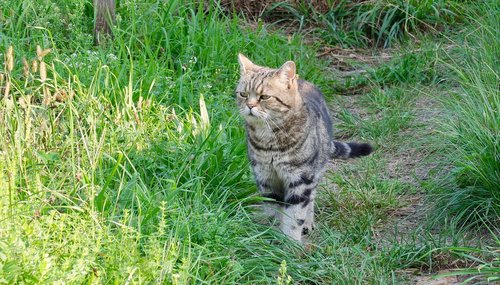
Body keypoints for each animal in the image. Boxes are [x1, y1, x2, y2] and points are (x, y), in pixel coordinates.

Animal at [234, 53, 372, 242]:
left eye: (264, 97)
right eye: (243, 94)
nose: (249, 105)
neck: (269, 140)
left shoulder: (300, 179)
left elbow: (294, 215)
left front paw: (290, 243)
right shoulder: (265, 177)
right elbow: (273, 212)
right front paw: (270, 236)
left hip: (315, 171)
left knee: (311, 198)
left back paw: (308, 223)